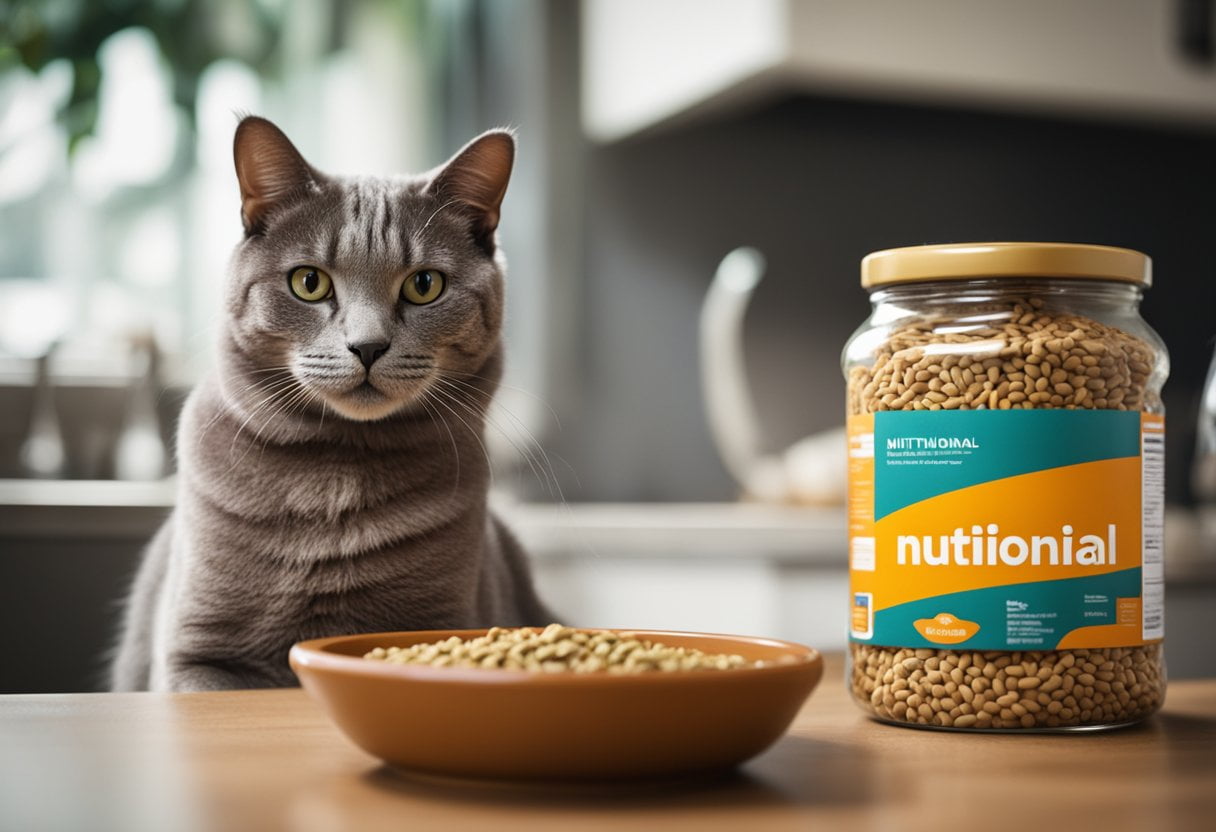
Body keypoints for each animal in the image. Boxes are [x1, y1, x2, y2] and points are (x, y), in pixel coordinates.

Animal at [111, 115, 549, 690]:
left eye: (424, 285)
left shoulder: (444, 623)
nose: (368, 346)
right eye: (308, 282)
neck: (334, 481)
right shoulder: (196, 656)